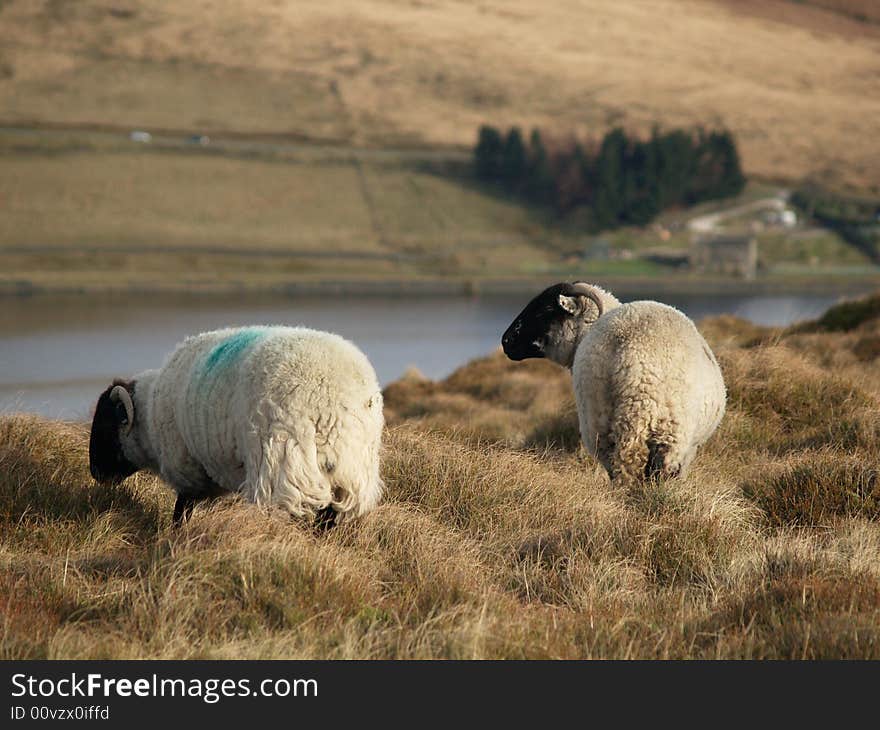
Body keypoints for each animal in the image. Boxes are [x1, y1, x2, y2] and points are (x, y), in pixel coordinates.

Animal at [88, 324, 384, 524]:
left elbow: (182, 509)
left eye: (104, 425)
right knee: (329, 516)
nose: (95, 473)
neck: (149, 416)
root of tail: (333, 400)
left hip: (283, 460)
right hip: (352, 468)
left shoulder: (188, 468)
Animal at [506, 282, 724, 480]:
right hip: (658, 426)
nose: (505, 341)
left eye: (546, 310)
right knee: (645, 467)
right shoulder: (687, 449)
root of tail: (623, 348)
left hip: (597, 418)